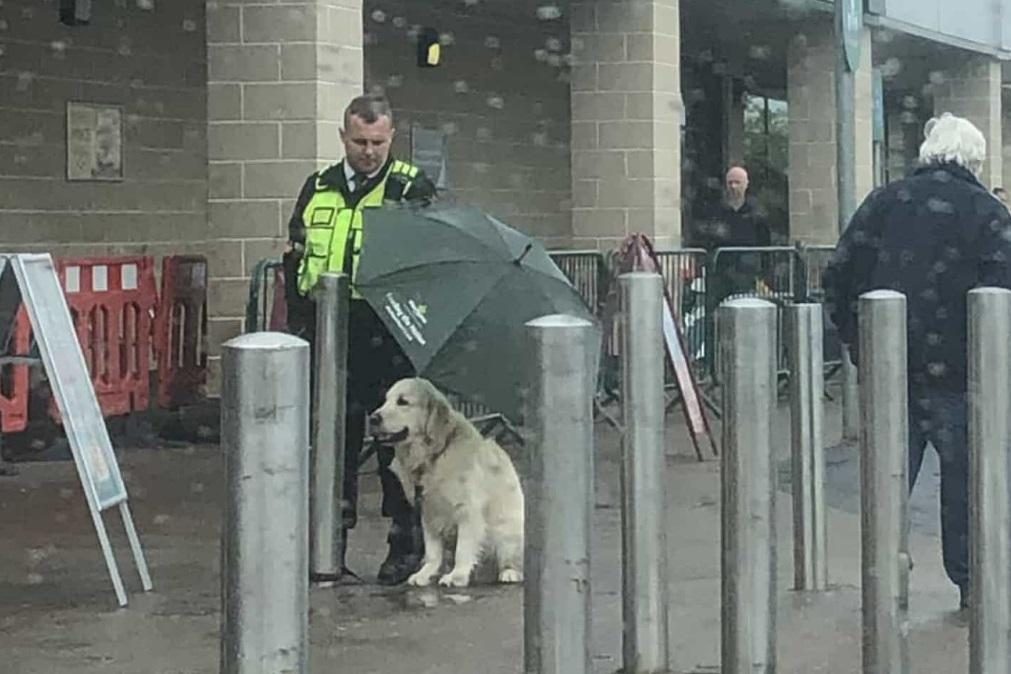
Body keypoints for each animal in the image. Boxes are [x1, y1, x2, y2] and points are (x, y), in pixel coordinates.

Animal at [372, 377, 529, 586]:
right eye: (385, 400)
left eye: (403, 402)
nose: (373, 418)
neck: (436, 454)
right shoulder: (428, 510)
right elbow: (432, 551)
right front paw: (425, 573)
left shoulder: (467, 510)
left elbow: (463, 549)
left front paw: (457, 576)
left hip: (506, 532)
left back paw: (510, 573)